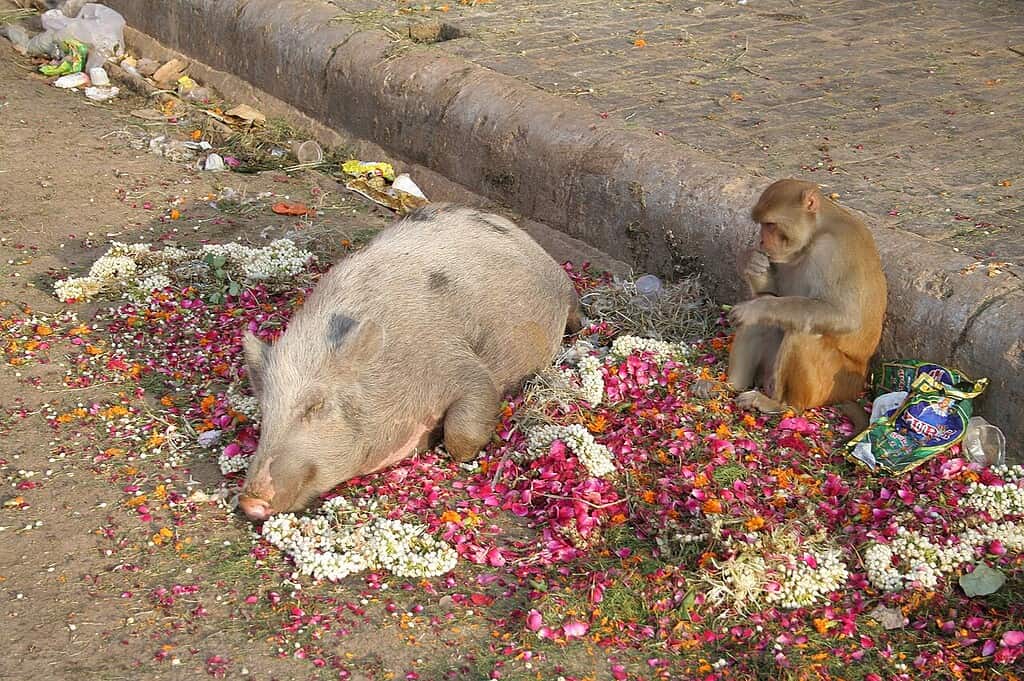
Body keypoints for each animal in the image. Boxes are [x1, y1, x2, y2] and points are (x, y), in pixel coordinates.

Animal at [237, 204, 581, 521]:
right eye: (265, 409)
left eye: (315, 406)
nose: (249, 501)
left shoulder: (463, 365)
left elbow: (463, 431)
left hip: (568, 294)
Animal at [696, 179, 887, 430]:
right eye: (761, 225)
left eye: (770, 225)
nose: (761, 241)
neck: (815, 235)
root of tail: (853, 392)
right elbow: (769, 294)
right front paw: (750, 261)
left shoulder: (834, 251)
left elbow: (844, 316)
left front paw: (757, 308)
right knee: (766, 324)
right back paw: (728, 386)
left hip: (834, 384)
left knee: (803, 335)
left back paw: (781, 405)